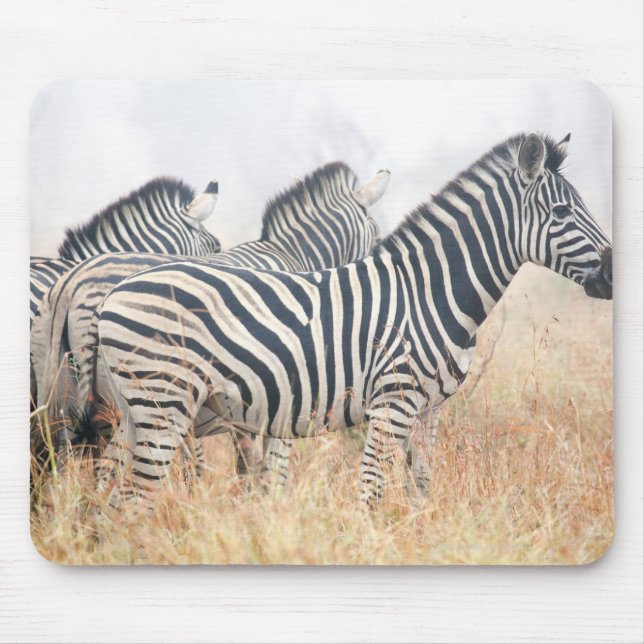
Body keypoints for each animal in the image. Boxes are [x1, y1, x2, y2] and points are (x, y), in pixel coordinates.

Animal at [89, 132, 612, 508]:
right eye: (561, 211)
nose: (611, 273)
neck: (427, 294)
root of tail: (114, 292)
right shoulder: (392, 403)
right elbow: (372, 492)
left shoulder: (429, 410)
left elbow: (422, 488)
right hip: (162, 405)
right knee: (135, 500)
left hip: (133, 413)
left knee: (111, 501)